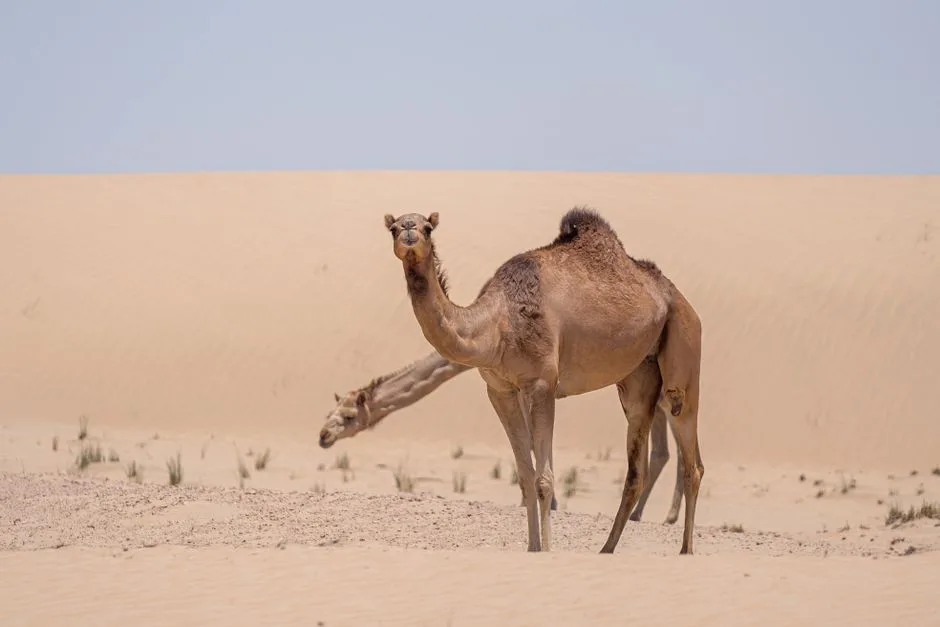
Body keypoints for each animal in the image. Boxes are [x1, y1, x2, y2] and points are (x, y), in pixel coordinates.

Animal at [317, 350, 686, 523]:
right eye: (329, 411)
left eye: (348, 417)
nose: (323, 436)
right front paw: (540, 501)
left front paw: (543, 502)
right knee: (666, 448)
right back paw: (650, 515)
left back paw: (659, 516)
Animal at [383, 207, 704, 554]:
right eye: (393, 228)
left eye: (428, 228)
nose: (409, 230)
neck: (497, 324)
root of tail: (681, 299)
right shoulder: (501, 389)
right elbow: (525, 475)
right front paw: (532, 547)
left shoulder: (541, 383)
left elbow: (543, 479)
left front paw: (547, 550)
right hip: (638, 376)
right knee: (637, 467)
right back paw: (607, 549)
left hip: (684, 345)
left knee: (691, 457)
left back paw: (685, 550)